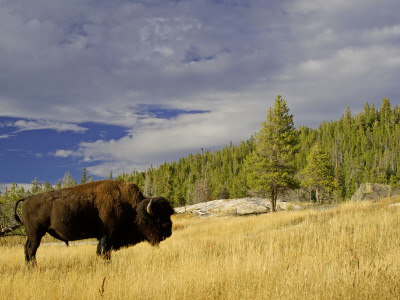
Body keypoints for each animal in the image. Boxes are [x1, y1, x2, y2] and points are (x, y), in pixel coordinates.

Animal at [14, 180, 173, 262]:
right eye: (158, 218)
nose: (169, 232)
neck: (134, 209)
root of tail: (27, 199)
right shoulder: (107, 237)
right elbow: (103, 253)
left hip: (31, 235)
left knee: (27, 250)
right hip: (36, 234)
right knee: (31, 250)